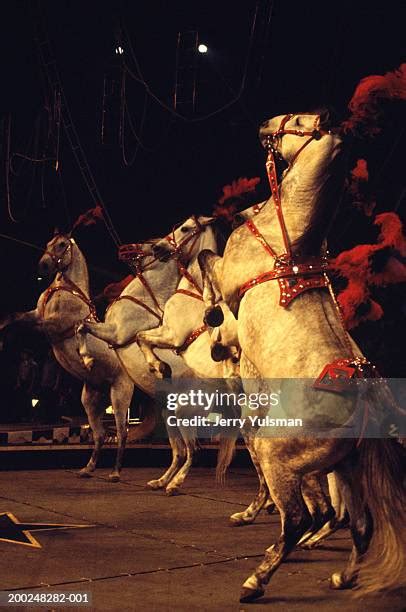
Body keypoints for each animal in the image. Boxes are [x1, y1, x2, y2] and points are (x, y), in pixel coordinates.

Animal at [0, 232, 136, 480]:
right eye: (48, 243)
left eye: (62, 245)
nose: (43, 266)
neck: (65, 288)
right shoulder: (35, 314)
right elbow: (13, 317)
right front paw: (1, 336)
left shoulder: (52, 325)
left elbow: (24, 326)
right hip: (90, 400)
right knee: (100, 434)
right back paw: (88, 468)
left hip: (119, 396)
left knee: (122, 433)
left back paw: (115, 473)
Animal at [198, 111, 404, 604]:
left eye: (294, 120)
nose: (263, 126)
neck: (288, 241)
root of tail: (367, 399)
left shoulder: (229, 280)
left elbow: (207, 261)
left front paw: (208, 308)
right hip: (344, 467)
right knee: (362, 526)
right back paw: (343, 578)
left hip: (278, 457)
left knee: (299, 519)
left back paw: (256, 581)